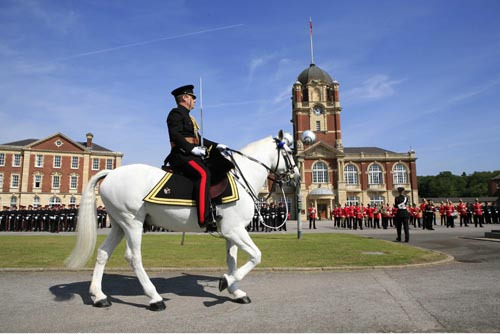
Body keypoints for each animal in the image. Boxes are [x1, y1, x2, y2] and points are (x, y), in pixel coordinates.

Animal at [64, 130, 298, 310]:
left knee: (103, 253)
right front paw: (226, 281)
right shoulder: (234, 230)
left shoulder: (231, 231)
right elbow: (256, 256)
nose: (296, 177)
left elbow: (232, 261)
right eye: (288, 152)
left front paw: (235, 290)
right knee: (133, 257)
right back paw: (154, 298)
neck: (242, 177)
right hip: (132, 223)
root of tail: (111, 173)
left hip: (118, 225)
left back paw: (99, 296)